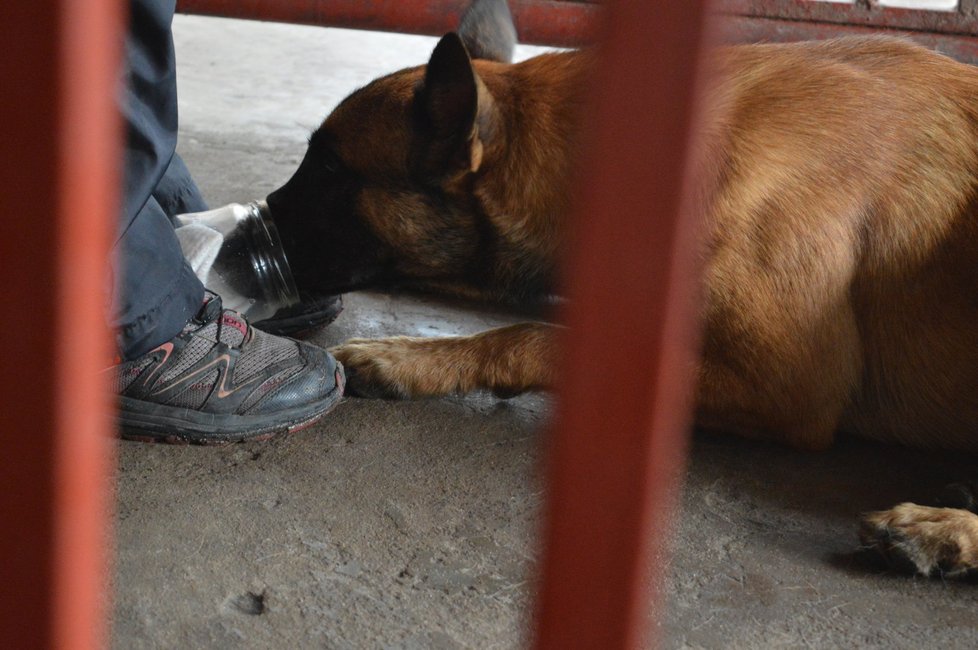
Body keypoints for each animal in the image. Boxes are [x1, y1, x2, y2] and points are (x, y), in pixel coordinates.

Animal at [264, 0, 976, 576]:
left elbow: (531, 336)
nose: (255, 219)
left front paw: (408, 357)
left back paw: (944, 529)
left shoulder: (791, 388)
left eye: (329, 169)